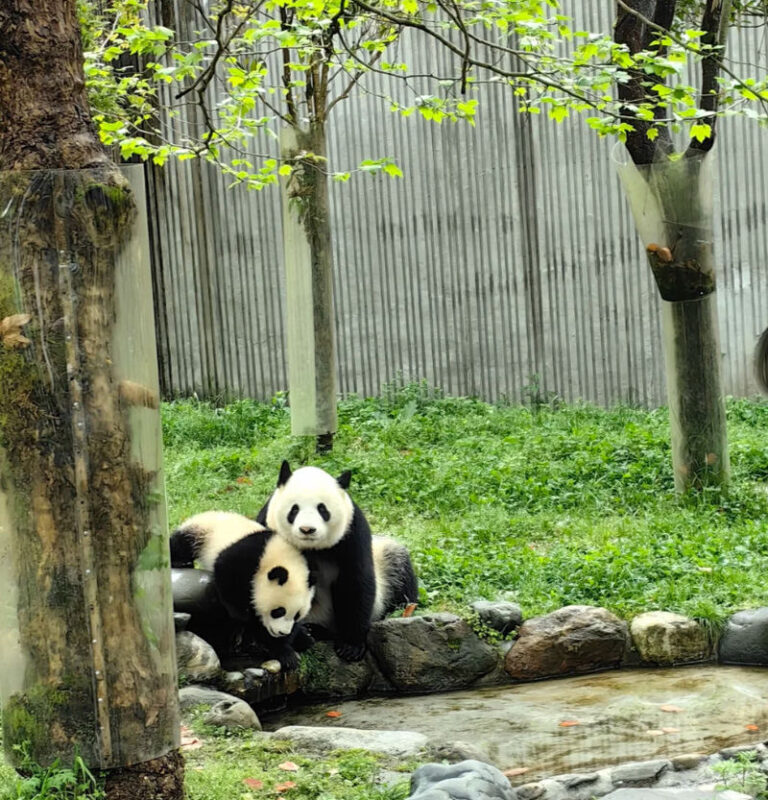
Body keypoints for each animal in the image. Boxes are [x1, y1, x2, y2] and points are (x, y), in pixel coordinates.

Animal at [170, 511, 316, 669]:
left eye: (297, 615)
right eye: (279, 611)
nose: (282, 632)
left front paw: (285, 651)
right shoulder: (244, 558)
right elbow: (227, 575)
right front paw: (243, 617)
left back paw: (306, 638)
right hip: (201, 532)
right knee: (180, 545)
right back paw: (181, 562)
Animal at [256, 462, 375, 661]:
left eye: (322, 509)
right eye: (294, 509)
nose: (307, 529)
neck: (310, 547)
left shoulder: (351, 533)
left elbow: (355, 580)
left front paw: (350, 646)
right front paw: (281, 647)